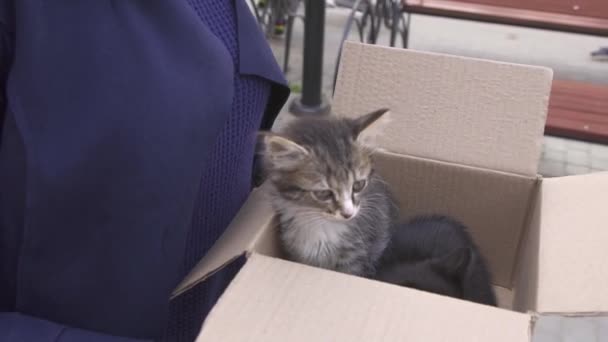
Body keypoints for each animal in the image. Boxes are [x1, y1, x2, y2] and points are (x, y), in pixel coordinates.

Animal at [258, 109, 396, 278]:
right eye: (323, 193)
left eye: (358, 185)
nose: (348, 214)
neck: (324, 227)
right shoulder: (297, 254)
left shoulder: (357, 259)